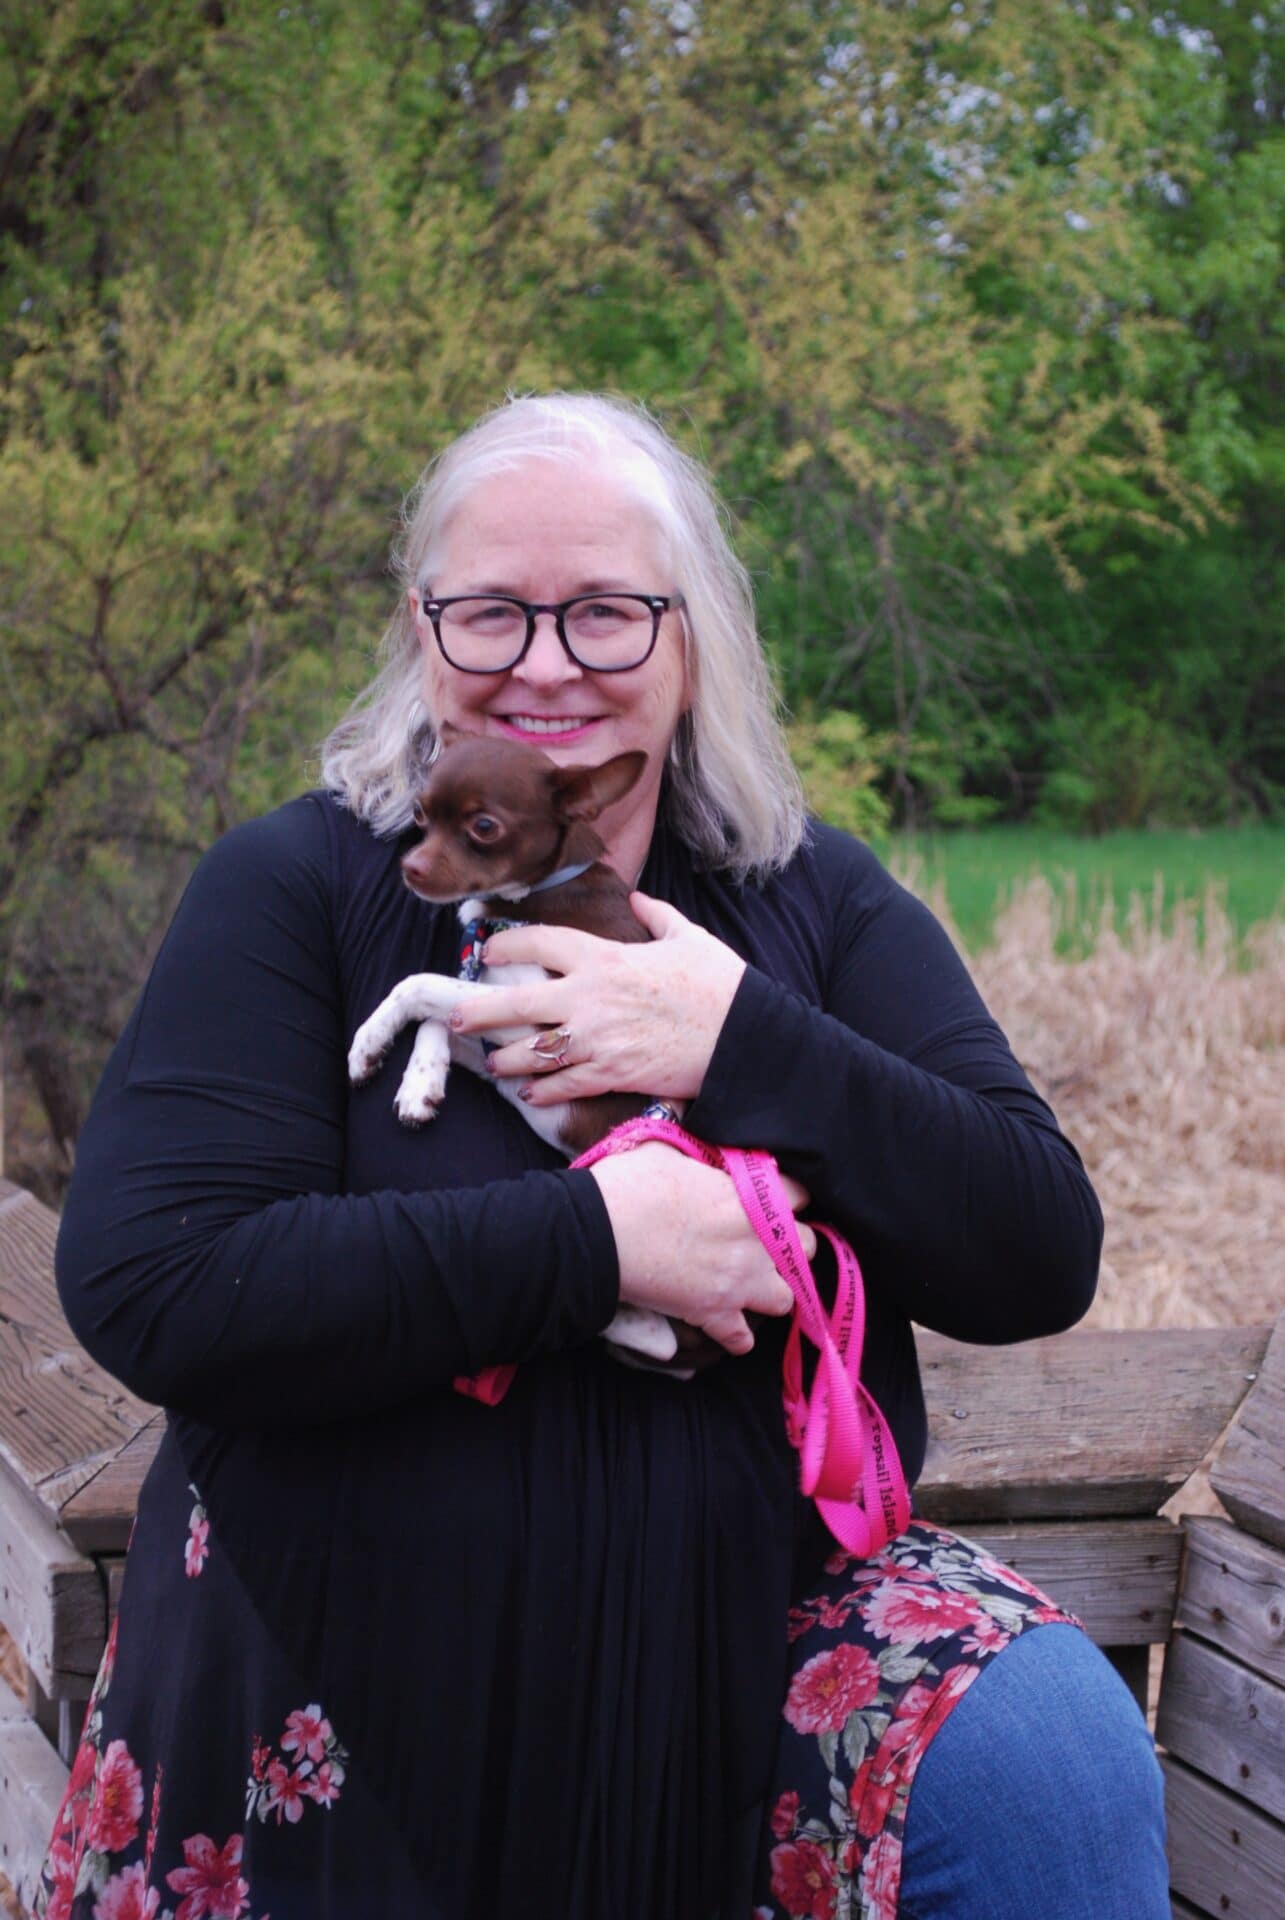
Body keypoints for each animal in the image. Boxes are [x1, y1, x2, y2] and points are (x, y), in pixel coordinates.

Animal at [345, 725, 691, 1374]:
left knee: (665, 1337)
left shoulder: (548, 1012)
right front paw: (414, 1077)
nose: (410, 867)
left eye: (484, 827)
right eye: (420, 815)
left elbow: (422, 983)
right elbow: (445, 1015)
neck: (533, 896)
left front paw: (373, 1040)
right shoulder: (496, 1037)